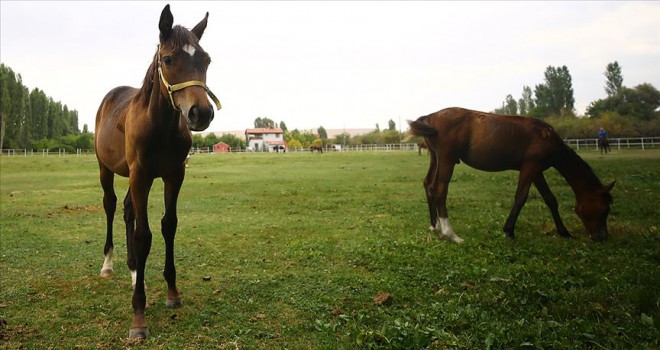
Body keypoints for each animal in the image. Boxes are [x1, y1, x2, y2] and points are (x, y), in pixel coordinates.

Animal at [94, 4, 220, 340]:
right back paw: (109, 264)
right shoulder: (141, 176)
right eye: (168, 59)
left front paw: (172, 293)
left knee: (127, 209)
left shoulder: (173, 175)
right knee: (111, 205)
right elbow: (143, 235)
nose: (201, 113)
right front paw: (138, 316)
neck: (160, 125)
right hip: (107, 169)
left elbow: (168, 226)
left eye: (206, 60)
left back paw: (135, 272)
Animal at [410, 108, 616, 243]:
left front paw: (563, 231)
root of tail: (431, 117)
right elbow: (521, 197)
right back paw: (450, 234)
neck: (546, 137)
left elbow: (550, 199)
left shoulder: (537, 171)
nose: (601, 237)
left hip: (436, 158)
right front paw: (509, 231)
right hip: (447, 160)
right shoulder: (530, 167)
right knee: (440, 190)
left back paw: (436, 227)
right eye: (605, 210)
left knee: (429, 186)